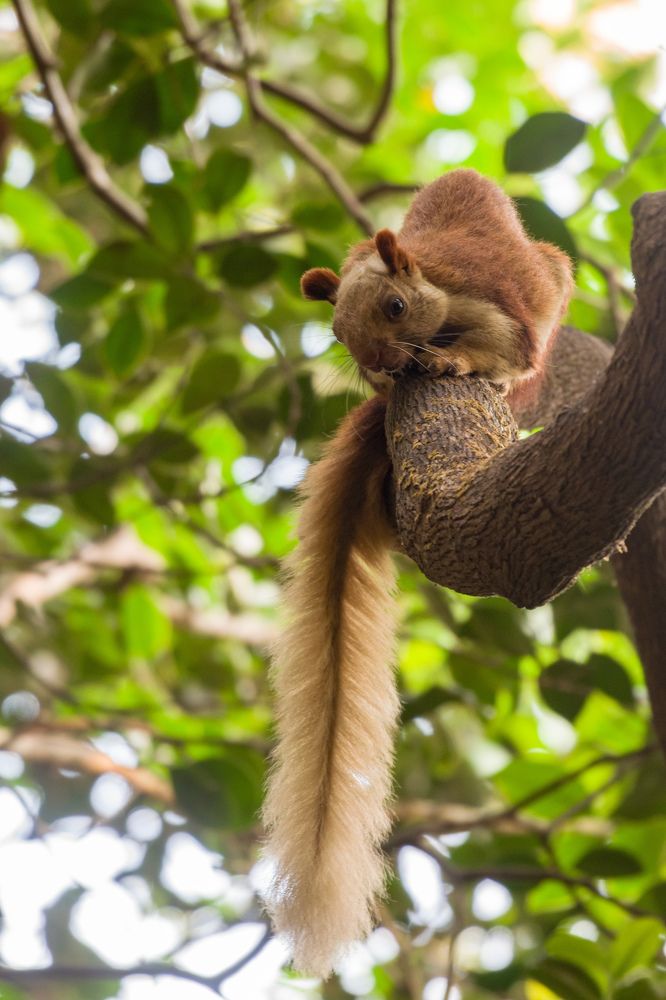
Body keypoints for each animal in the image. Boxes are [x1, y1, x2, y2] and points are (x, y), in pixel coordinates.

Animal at [261, 169, 573, 978]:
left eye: (396, 309)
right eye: (337, 335)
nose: (378, 363)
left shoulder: (494, 308)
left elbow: (504, 350)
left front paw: (460, 366)